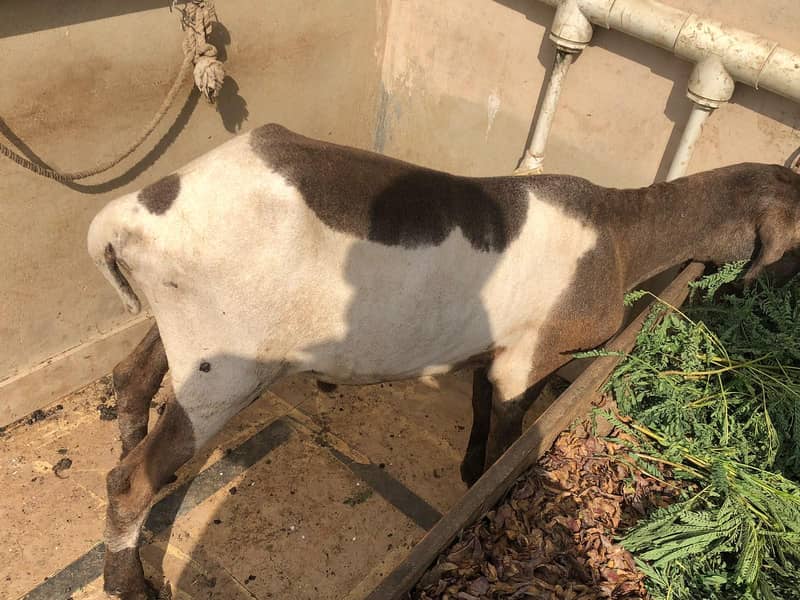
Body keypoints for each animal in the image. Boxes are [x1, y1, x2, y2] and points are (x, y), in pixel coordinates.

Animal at [88, 123, 800, 598]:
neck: (619, 236)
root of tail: (124, 219)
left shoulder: (497, 347)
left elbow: (484, 401)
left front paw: (467, 471)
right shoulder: (532, 353)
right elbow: (514, 432)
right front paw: (489, 489)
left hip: (182, 333)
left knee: (132, 382)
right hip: (226, 364)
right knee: (131, 481)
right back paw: (131, 582)